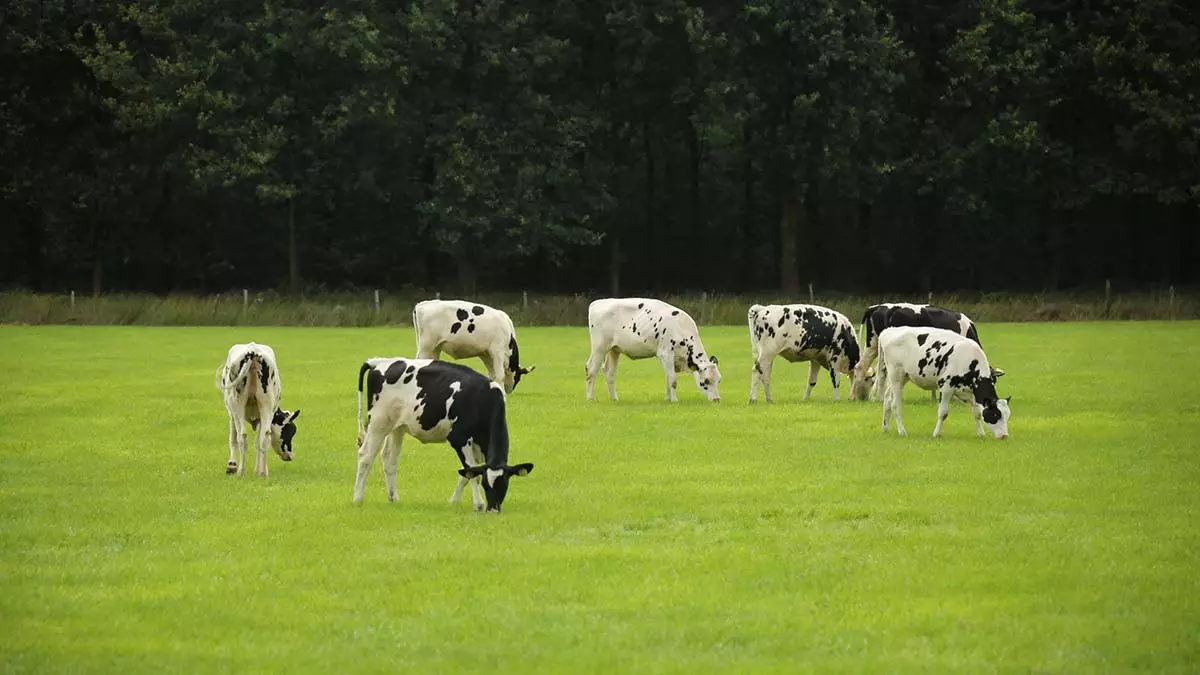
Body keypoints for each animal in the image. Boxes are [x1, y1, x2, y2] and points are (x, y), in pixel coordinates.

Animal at [216, 341, 300, 478]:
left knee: (243, 436)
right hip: (265, 405)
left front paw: (232, 466)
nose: (291, 456)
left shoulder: (232, 413)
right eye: (290, 432)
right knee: (264, 436)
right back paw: (262, 473)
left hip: (238, 405)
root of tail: (253, 352)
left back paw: (242, 471)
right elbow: (256, 441)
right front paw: (257, 468)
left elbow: (234, 438)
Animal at [352, 357, 537, 509]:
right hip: (378, 423)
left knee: (390, 459)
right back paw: (358, 498)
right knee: (365, 456)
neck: (483, 399)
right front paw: (478, 504)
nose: (493, 509)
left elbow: (468, 473)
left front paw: (455, 500)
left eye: (504, 485)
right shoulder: (459, 439)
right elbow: (471, 473)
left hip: (397, 427)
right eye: (486, 485)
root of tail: (378, 362)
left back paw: (394, 497)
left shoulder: (480, 445)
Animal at [583, 297, 720, 398]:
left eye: (719, 380)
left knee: (609, 372)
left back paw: (614, 399)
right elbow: (673, 380)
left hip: (614, 349)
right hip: (599, 348)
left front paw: (668, 399)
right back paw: (590, 398)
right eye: (705, 381)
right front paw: (674, 401)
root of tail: (597, 302)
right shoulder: (665, 354)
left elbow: (668, 379)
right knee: (591, 370)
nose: (716, 399)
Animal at [873, 324, 1012, 439]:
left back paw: (886, 427)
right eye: (996, 415)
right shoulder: (946, 387)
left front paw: (981, 434)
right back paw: (902, 431)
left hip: (901, 378)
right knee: (895, 405)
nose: (1004, 436)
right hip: (896, 376)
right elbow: (943, 413)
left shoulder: (968, 392)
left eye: (1007, 416)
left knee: (887, 398)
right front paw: (936, 434)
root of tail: (888, 331)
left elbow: (977, 412)